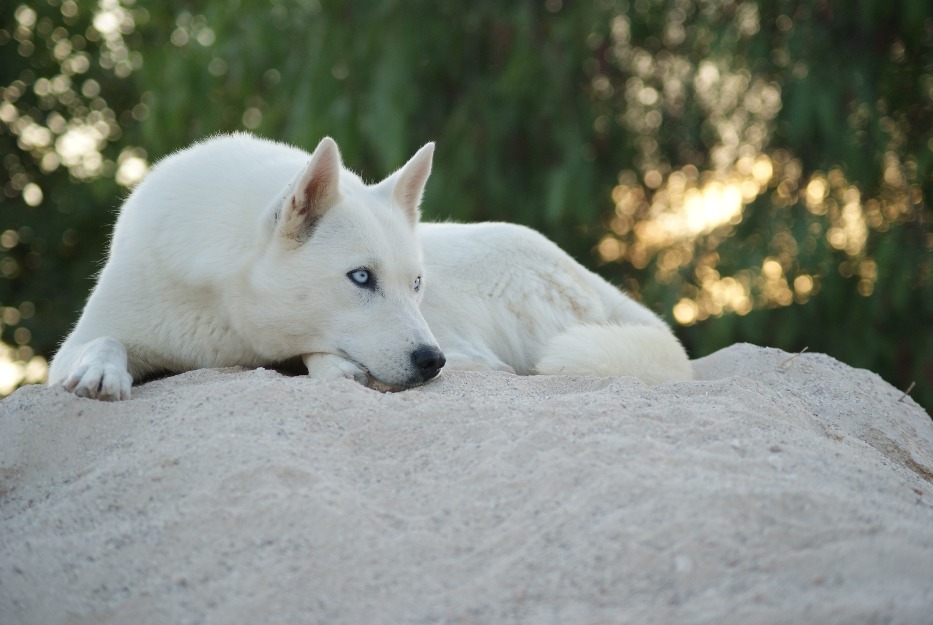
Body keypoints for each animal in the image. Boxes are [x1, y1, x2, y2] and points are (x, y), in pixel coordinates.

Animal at [51, 135, 692, 400]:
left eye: (416, 283)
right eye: (361, 277)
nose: (430, 362)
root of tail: (589, 278)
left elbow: (311, 353)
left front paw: (332, 367)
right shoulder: (79, 341)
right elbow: (101, 343)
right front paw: (101, 373)